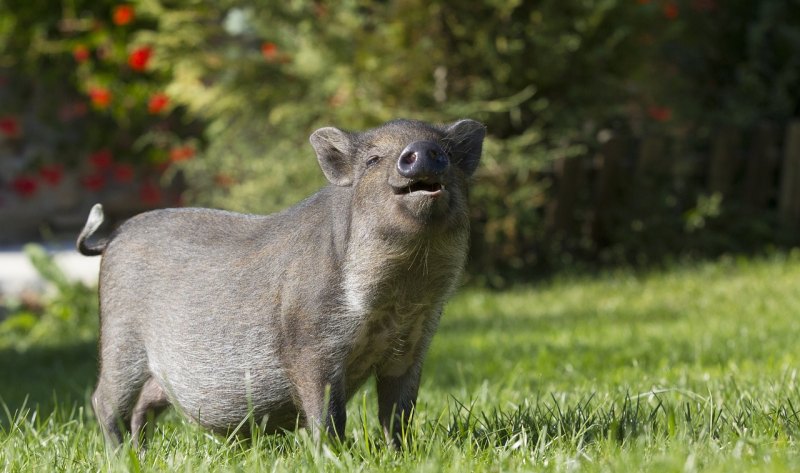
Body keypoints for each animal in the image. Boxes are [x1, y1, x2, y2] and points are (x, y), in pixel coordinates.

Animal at [78, 117, 484, 446]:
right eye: (373, 159)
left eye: (447, 151)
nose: (423, 150)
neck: (398, 298)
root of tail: (113, 237)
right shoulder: (310, 344)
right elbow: (327, 414)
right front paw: (334, 455)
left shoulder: (412, 345)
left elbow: (398, 413)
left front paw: (399, 454)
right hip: (120, 339)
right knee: (104, 401)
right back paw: (120, 455)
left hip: (155, 373)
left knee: (143, 406)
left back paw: (141, 452)